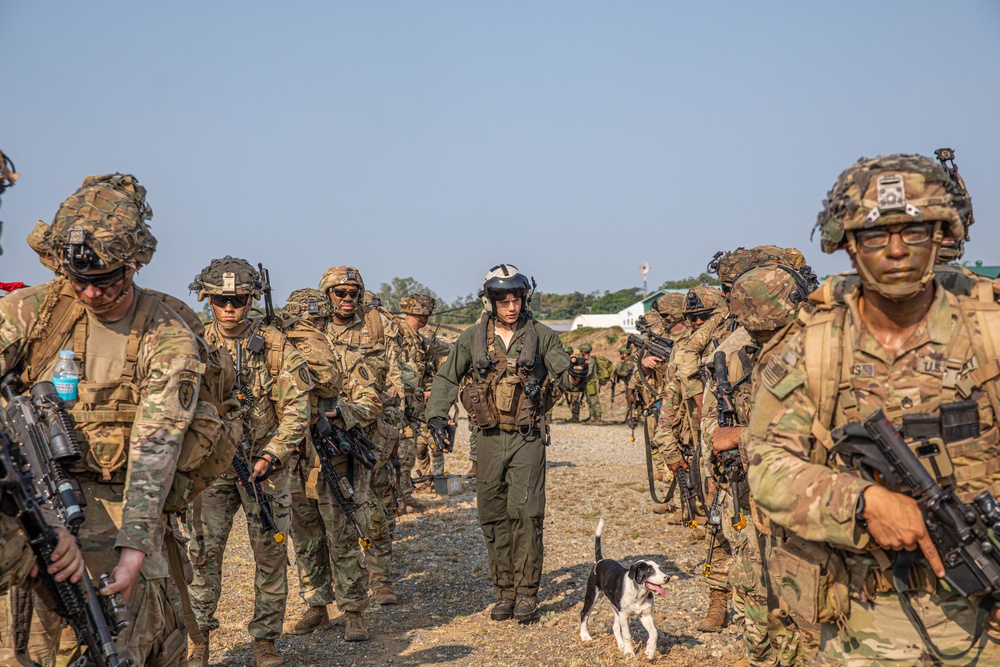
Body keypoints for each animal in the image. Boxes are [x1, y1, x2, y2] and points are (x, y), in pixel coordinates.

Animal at [580, 520, 672, 660]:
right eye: (650, 570)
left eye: (659, 568)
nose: (667, 578)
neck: (638, 594)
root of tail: (600, 560)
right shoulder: (625, 615)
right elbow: (627, 635)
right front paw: (629, 652)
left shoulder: (645, 615)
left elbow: (654, 632)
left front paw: (649, 651)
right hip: (593, 595)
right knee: (584, 613)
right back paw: (585, 635)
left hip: (615, 608)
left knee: (615, 627)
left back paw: (621, 645)